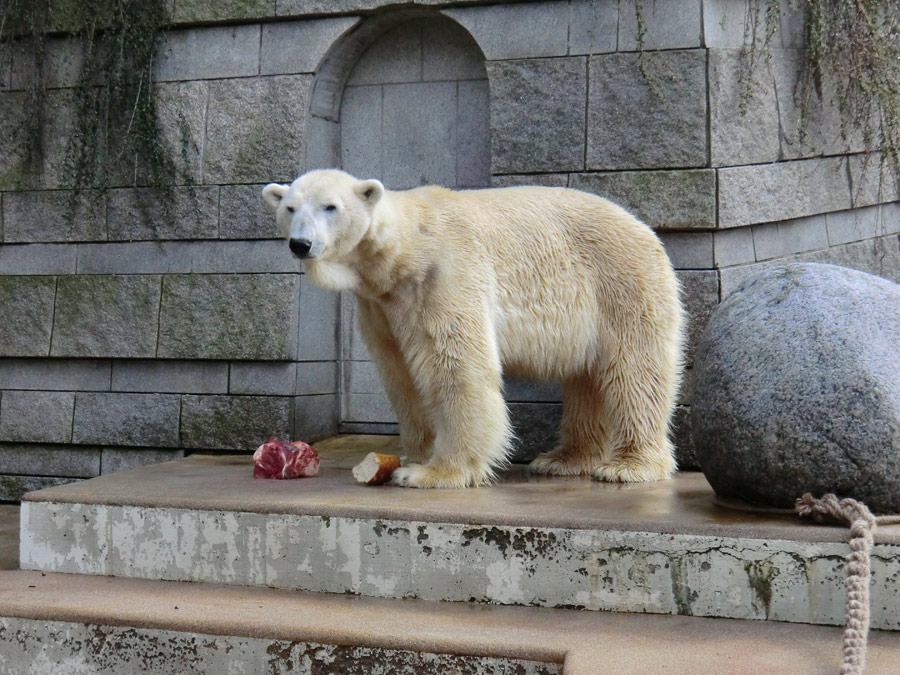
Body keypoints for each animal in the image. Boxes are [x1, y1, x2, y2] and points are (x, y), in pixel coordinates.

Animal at [264, 168, 684, 486]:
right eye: (290, 207)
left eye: (330, 207)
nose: (301, 243)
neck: (402, 254)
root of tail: (645, 229)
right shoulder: (380, 305)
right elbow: (401, 375)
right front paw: (414, 456)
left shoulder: (443, 276)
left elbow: (454, 366)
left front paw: (434, 472)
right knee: (587, 377)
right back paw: (563, 459)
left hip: (619, 283)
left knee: (635, 371)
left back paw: (628, 466)